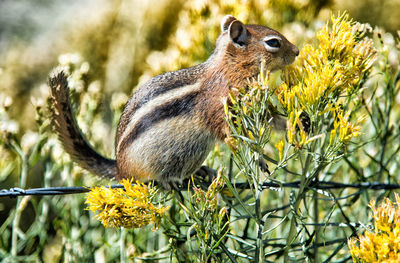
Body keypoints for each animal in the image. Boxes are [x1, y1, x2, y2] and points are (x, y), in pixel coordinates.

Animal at [48, 15, 298, 189]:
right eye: (273, 42)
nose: (296, 51)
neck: (228, 70)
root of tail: (120, 167)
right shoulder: (219, 108)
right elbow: (234, 136)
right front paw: (258, 157)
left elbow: (269, 119)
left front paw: (294, 125)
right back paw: (165, 181)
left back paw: (202, 172)